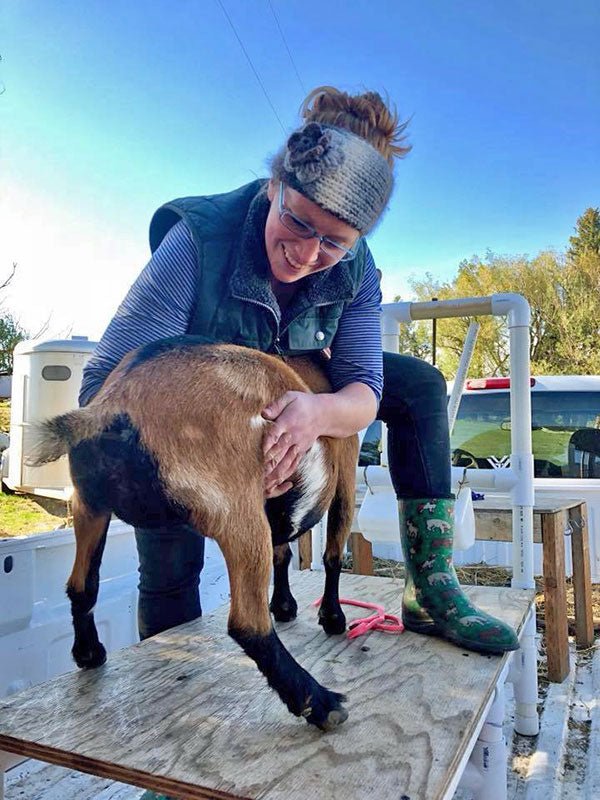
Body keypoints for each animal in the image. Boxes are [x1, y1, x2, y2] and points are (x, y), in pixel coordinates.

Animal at [28, 338, 358, 732]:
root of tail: (113, 405)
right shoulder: (345, 470)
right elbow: (333, 554)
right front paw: (332, 618)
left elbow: (285, 553)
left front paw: (284, 605)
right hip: (238, 512)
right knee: (246, 623)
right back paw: (318, 702)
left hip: (89, 505)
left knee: (82, 585)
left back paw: (89, 653)